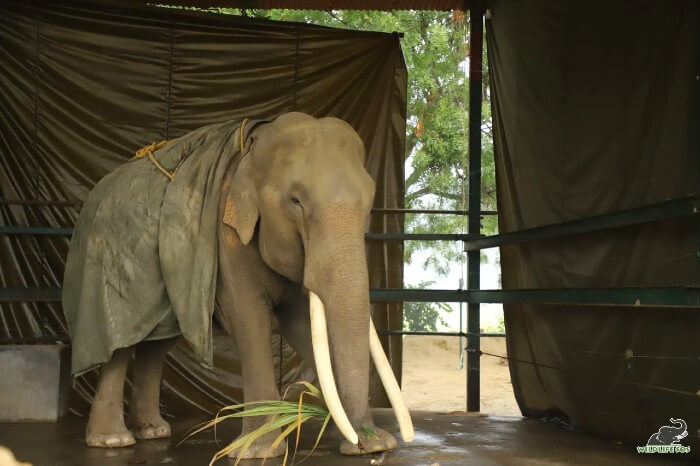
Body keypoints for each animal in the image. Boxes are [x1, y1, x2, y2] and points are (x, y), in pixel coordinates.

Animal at [63, 114, 412, 458]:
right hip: (107, 265)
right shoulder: (226, 234)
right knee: (120, 344)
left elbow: (300, 322)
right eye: (295, 201)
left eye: (370, 201)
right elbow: (249, 316)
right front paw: (257, 450)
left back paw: (153, 432)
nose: (369, 443)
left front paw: (370, 442)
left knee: (156, 343)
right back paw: (113, 441)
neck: (254, 150)